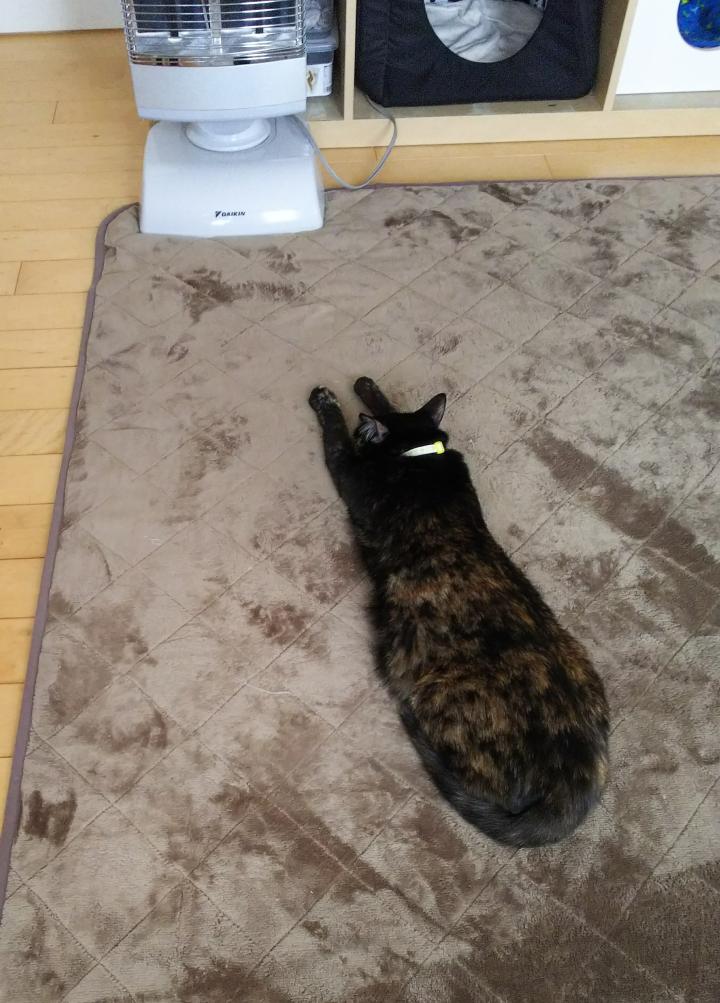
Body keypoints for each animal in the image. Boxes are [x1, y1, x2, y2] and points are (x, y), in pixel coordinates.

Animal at [308, 376, 609, 847]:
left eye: (361, 435)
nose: (362, 429)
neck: (418, 454)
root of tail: (573, 778)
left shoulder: (348, 470)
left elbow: (334, 438)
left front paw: (329, 401)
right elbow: (395, 405)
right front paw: (368, 386)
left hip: (436, 693)